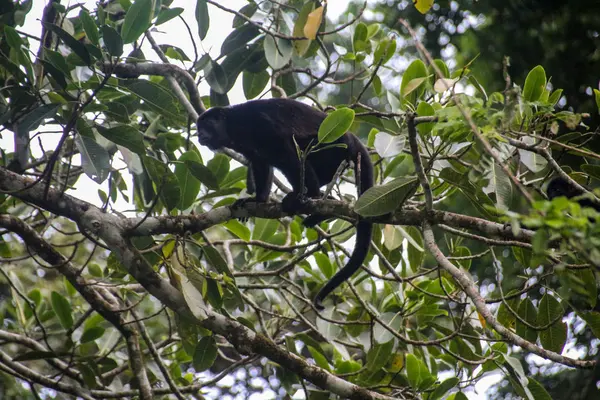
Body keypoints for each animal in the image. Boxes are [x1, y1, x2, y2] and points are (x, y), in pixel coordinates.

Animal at [196, 97, 376, 310]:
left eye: (206, 125)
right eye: (198, 127)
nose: (199, 134)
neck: (232, 126)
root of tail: (355, 140)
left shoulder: (257, 122)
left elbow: (284, 147)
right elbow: (260, 162)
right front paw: (257, 199)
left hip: (334, 146)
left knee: (297, 153)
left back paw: (306, 196)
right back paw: (324, 205)